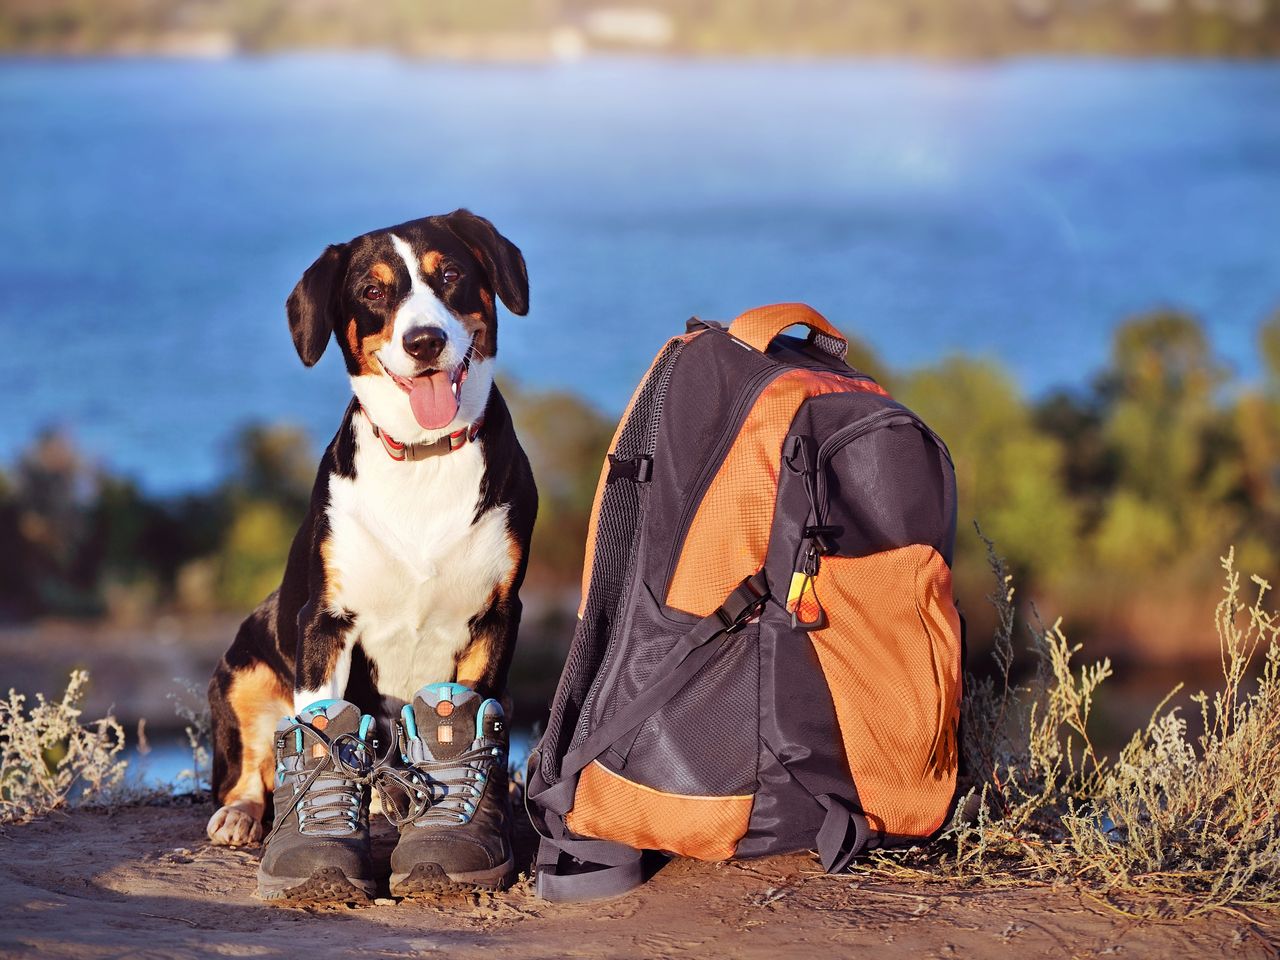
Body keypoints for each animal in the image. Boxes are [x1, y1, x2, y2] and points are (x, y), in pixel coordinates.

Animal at [208, 212, 535, 849]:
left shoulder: (496, 615)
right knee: (250, 765)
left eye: (450, 273)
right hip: (243, 668)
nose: (423, 341)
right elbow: (315, 723)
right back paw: (241, 814)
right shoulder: (324, 622)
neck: (424, 455)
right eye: (372, 291)